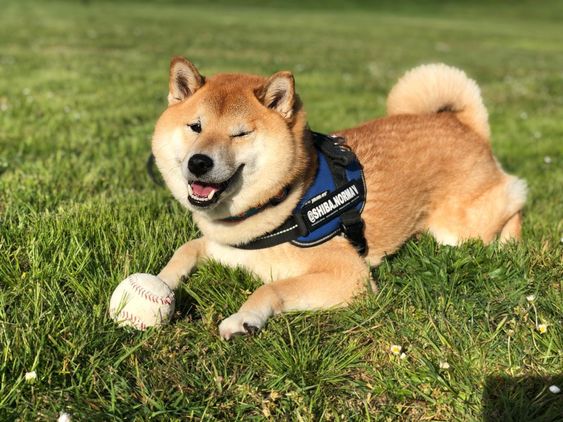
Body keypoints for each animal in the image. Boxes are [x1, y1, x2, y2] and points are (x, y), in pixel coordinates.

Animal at [151, 56, 528, 340]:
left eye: (240, 134)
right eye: (195, 127)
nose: (199, 162)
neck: (287, 198)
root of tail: (462, 124)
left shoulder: (349, 275)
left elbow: (271, 288)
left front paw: (244, 318)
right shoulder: (224, 245)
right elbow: (185, 249)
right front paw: (159, 283)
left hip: (461, 229)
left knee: (514, 198)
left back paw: (510, 243)